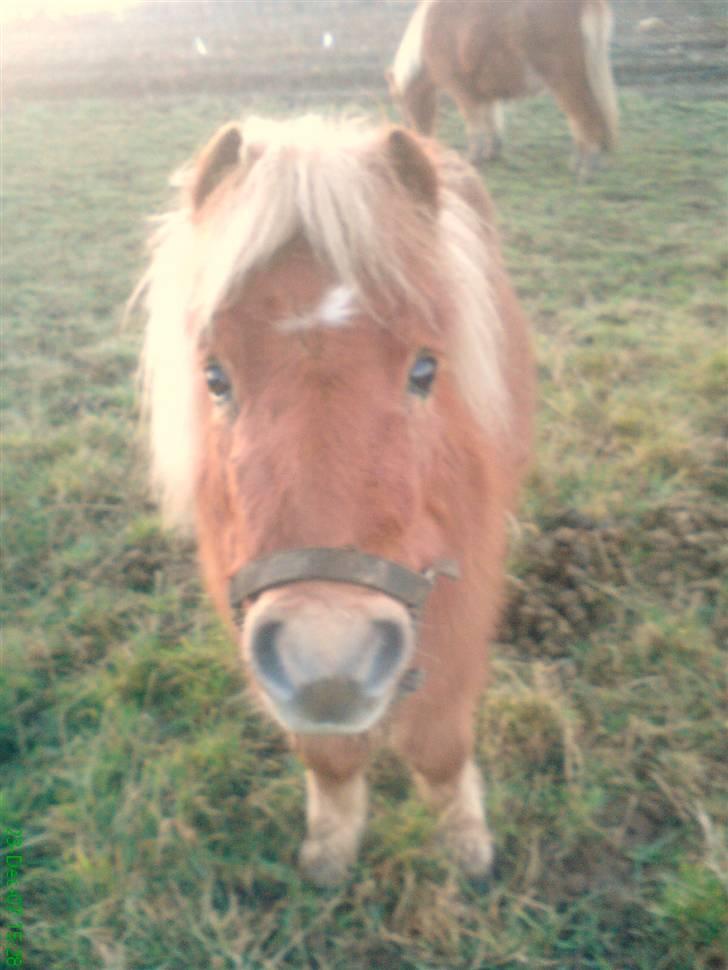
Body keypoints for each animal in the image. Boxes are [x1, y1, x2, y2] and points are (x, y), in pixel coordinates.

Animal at [138, 113, 536, 884]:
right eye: (215, 376)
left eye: (425, 369)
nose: (328, 663)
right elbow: (326, 753)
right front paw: (332, 844)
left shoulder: (462, 601)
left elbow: (439, 742)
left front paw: (463, 838)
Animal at [386, 0, 620, 176]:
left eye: (401, 104)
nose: (415, 143)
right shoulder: (484, 94)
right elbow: (492, 121)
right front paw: (492, 152)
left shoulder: (463, 91)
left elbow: (475, 127)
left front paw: (473, 158)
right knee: (582, 120)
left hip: (566, 81)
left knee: (584, 117)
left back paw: (586, 168)